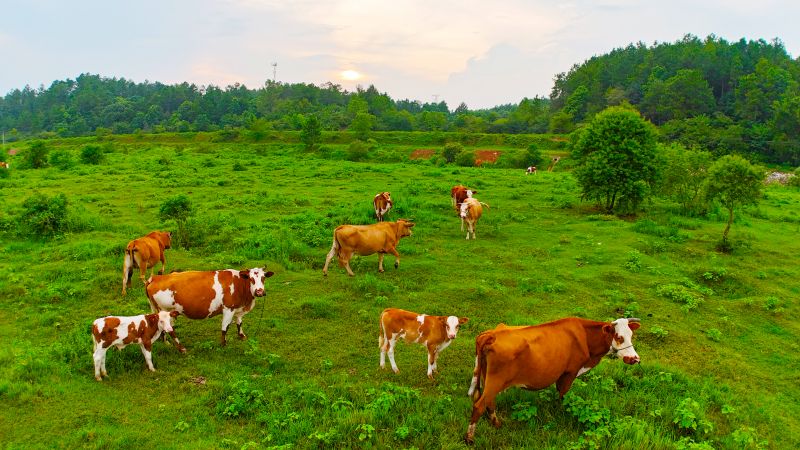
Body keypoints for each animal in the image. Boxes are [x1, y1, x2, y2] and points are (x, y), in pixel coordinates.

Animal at [146, 266, 276, 350]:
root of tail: (156, 278)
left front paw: (241, 336)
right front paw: (223, 344)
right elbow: (225, 327)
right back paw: (181, 348)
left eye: (263, 278)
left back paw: (165, 342)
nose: (259, 291)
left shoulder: (237, 308)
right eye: (251, 278)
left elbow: (239, 322)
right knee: (170, 329)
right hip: (165, 310)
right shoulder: (228, 309)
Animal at [462, 316, 644, 442]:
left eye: (631, 336)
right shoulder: (570, 372)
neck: (586, 338)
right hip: (496, 380)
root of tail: (491, 334)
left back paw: (496, 423)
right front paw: (560, 412)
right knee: (479, 405)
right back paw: (469, 438)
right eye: (619, 337)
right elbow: (562, 395)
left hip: (486, 377)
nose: (635, 359)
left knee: (489, 401)